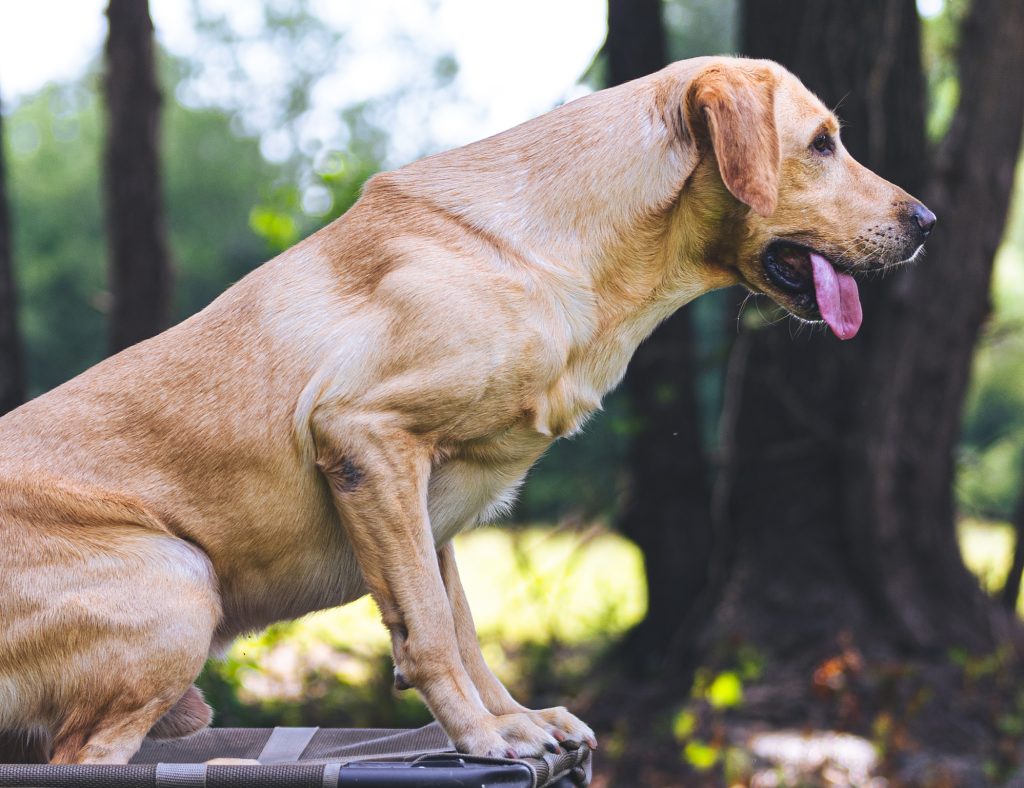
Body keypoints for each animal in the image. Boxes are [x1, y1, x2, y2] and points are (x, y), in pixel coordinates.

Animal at [0, 56, 933, 761]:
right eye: (822, 143)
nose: (928, 220)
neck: (556, 254)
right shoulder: (367, 440)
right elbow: (432, 634)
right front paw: (486, 738)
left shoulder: (433, 504)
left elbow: (460, 626)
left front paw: (514, 719)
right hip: (180, 578)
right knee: (82, 755)